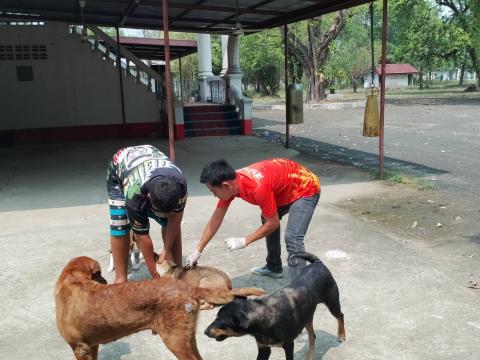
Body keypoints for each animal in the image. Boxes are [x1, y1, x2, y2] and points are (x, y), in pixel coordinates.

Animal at [56, 256, 266, 360]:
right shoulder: (92, 346)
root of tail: (187, 286)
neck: (73, 281)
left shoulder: (80, 348)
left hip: (175, 341)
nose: (106, 281)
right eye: (99, 274)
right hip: (187, 338)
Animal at [203, 253, 344, 360]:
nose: (204, 332)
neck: (263, 316)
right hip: (307, 315)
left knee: (340, 315)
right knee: (312, 336)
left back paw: (341, 335)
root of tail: (317, 263)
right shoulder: (263, 349)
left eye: (220, 321)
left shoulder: (288, 345)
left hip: (332, 303)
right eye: (215, 318)